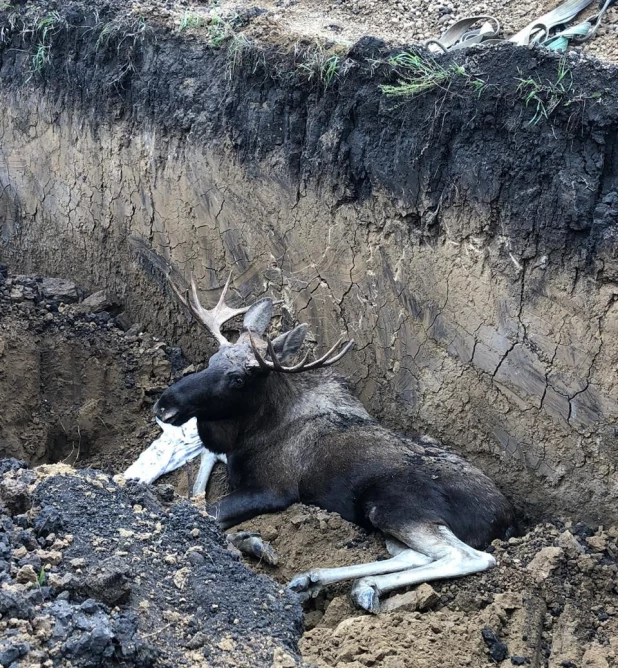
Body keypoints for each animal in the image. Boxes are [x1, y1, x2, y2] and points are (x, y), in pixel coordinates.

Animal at [154, 274, 516, 612]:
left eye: (238, 379)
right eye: (212, 360)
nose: (164, 405)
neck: (251, 431)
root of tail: (507, 518)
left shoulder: (273, 490)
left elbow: (201, 509)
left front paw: (250, 541)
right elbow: (201, 477)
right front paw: (246, 539)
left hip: (393, 504)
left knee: (467, 556)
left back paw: (348, 583)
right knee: (415, 554)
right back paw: (322, 580)